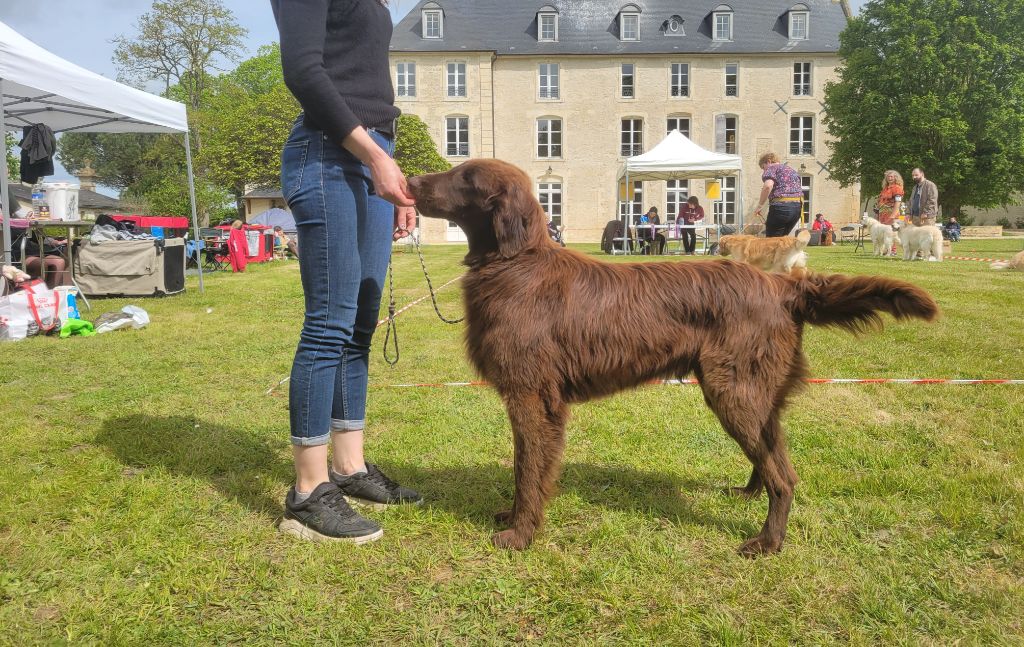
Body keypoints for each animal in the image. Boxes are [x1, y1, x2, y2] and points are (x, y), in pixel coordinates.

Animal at [407, 157, 937, 556]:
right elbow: (524, 465)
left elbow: (529, 468)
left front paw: (520, 533)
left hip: (732, 389)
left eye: (466, 178)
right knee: (771, 455)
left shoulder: (533, 396)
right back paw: (749, 494)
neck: (514, 263)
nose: (409, 182)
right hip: (756, 391)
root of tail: (783, 286)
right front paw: (513, 518)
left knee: (784, 476)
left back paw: (766, 543)